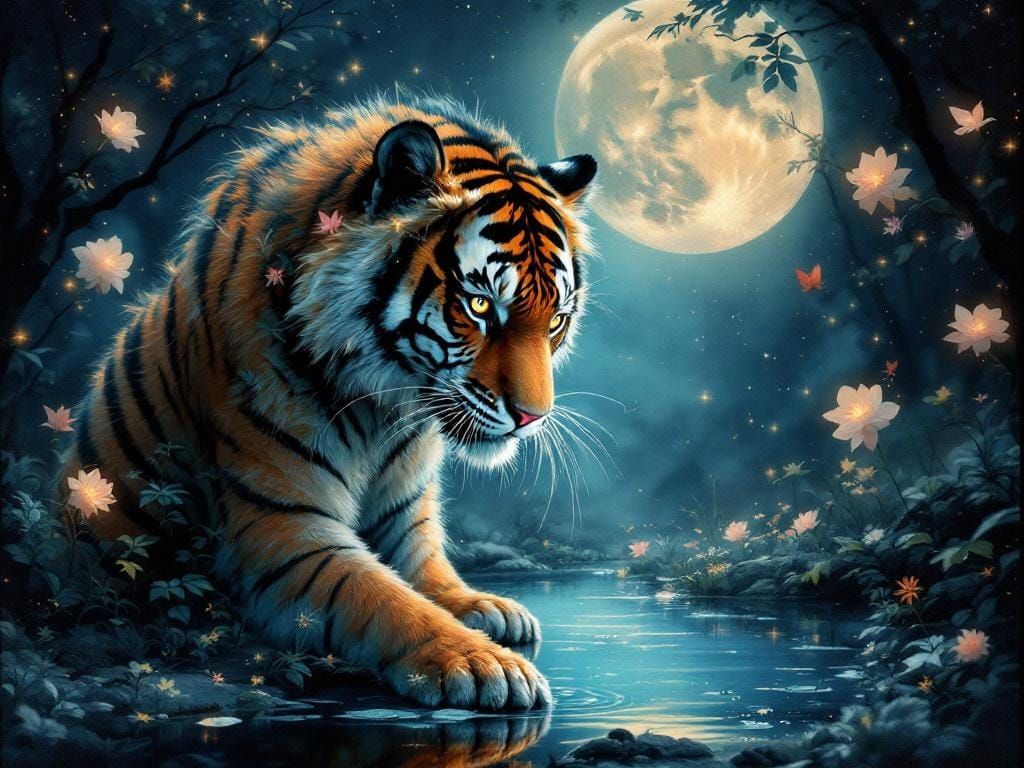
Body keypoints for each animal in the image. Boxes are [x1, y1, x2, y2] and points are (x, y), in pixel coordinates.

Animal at [64, 94, 597, 711]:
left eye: (556, 319)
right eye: (482, 305)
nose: (532, 417)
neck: (384, 406)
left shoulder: (404, 507)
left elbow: (425, 568)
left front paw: (482, 607)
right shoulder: (282, 526)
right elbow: (381, 596)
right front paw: (484, 663)